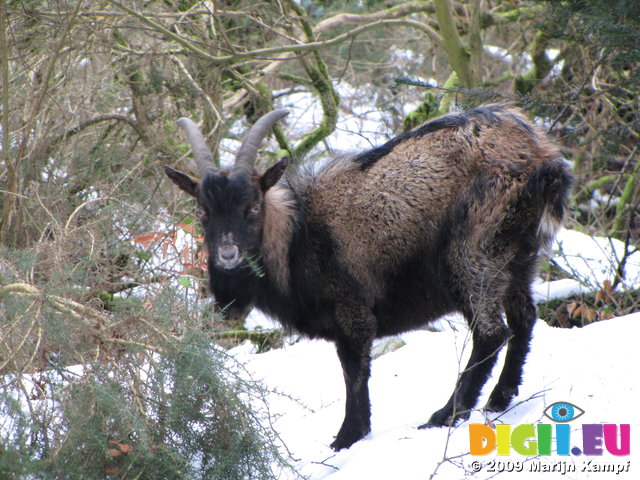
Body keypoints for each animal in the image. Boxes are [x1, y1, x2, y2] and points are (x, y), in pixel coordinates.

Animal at [162, 104, 572, 450]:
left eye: (252, 207)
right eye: (203, 211)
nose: (227, 256)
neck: (298, 237)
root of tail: (542, 159)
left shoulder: (352, 311)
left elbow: (354, 372)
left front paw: (347, 437)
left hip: (473, 252)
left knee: (491, 332)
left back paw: (444, 415)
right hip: (520, 257)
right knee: (524, 318)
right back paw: (499, 399)